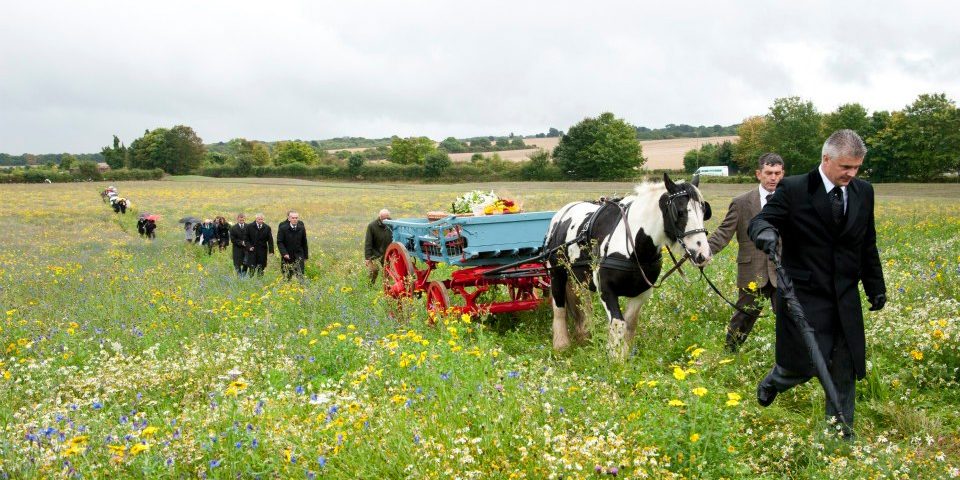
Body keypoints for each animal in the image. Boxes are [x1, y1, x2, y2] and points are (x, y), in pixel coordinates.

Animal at [548, 174, 712, 358]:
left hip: (581, 278)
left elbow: (630, 323)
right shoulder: (606, 289)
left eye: (704, 211)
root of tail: (562, 212)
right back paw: (561, 344)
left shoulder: (642, 292)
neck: (633, 244)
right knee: (559, 306)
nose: (703, 254)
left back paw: (586, 334)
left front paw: (625, 355)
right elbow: (618, 323)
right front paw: (616, 358)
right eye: (680, 212)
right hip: (557, 273)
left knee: (585, 304)